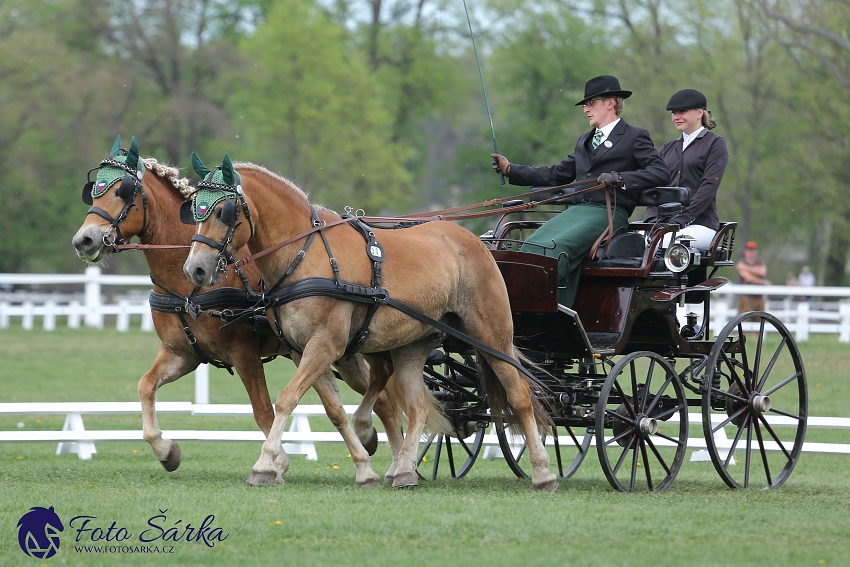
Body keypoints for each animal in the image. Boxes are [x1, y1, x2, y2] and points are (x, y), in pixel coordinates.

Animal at [69, 136, 400, 484]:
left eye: (123, 191)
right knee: (381, 399)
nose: (84, 240)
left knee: (383, 397)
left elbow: (263, 409)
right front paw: (166, 450)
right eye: (93, 190)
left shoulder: (243, 353)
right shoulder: (182, 352)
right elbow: (145, 386)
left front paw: (275, 464)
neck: (189, 286)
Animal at [182, 156, 556, 492]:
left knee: (519, 395)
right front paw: (365, 467)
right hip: (412, 344)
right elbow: (333, 410)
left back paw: (542, 472)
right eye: (193, 208)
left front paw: (264, 465)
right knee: (418, 405)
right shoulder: (303, 350)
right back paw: (403, 471)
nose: (195, 269)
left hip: (491, 336)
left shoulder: (325, 345)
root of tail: (475, 240)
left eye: (224, 211)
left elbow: (286, 400)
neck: (305, 254)